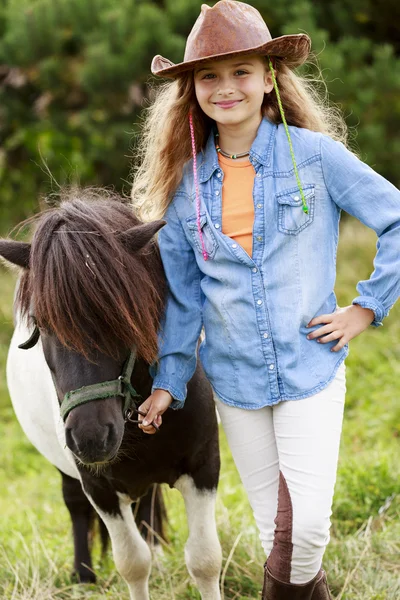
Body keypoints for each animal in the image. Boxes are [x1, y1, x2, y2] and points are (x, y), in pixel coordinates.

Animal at [0, 191, 222, 600]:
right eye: (41, 323)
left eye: (122, 314)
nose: (91, 436)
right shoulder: (99, 488)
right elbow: (132, 563)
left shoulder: (203, 469)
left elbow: (204, 559)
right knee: (74, 504)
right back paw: (83, 575)